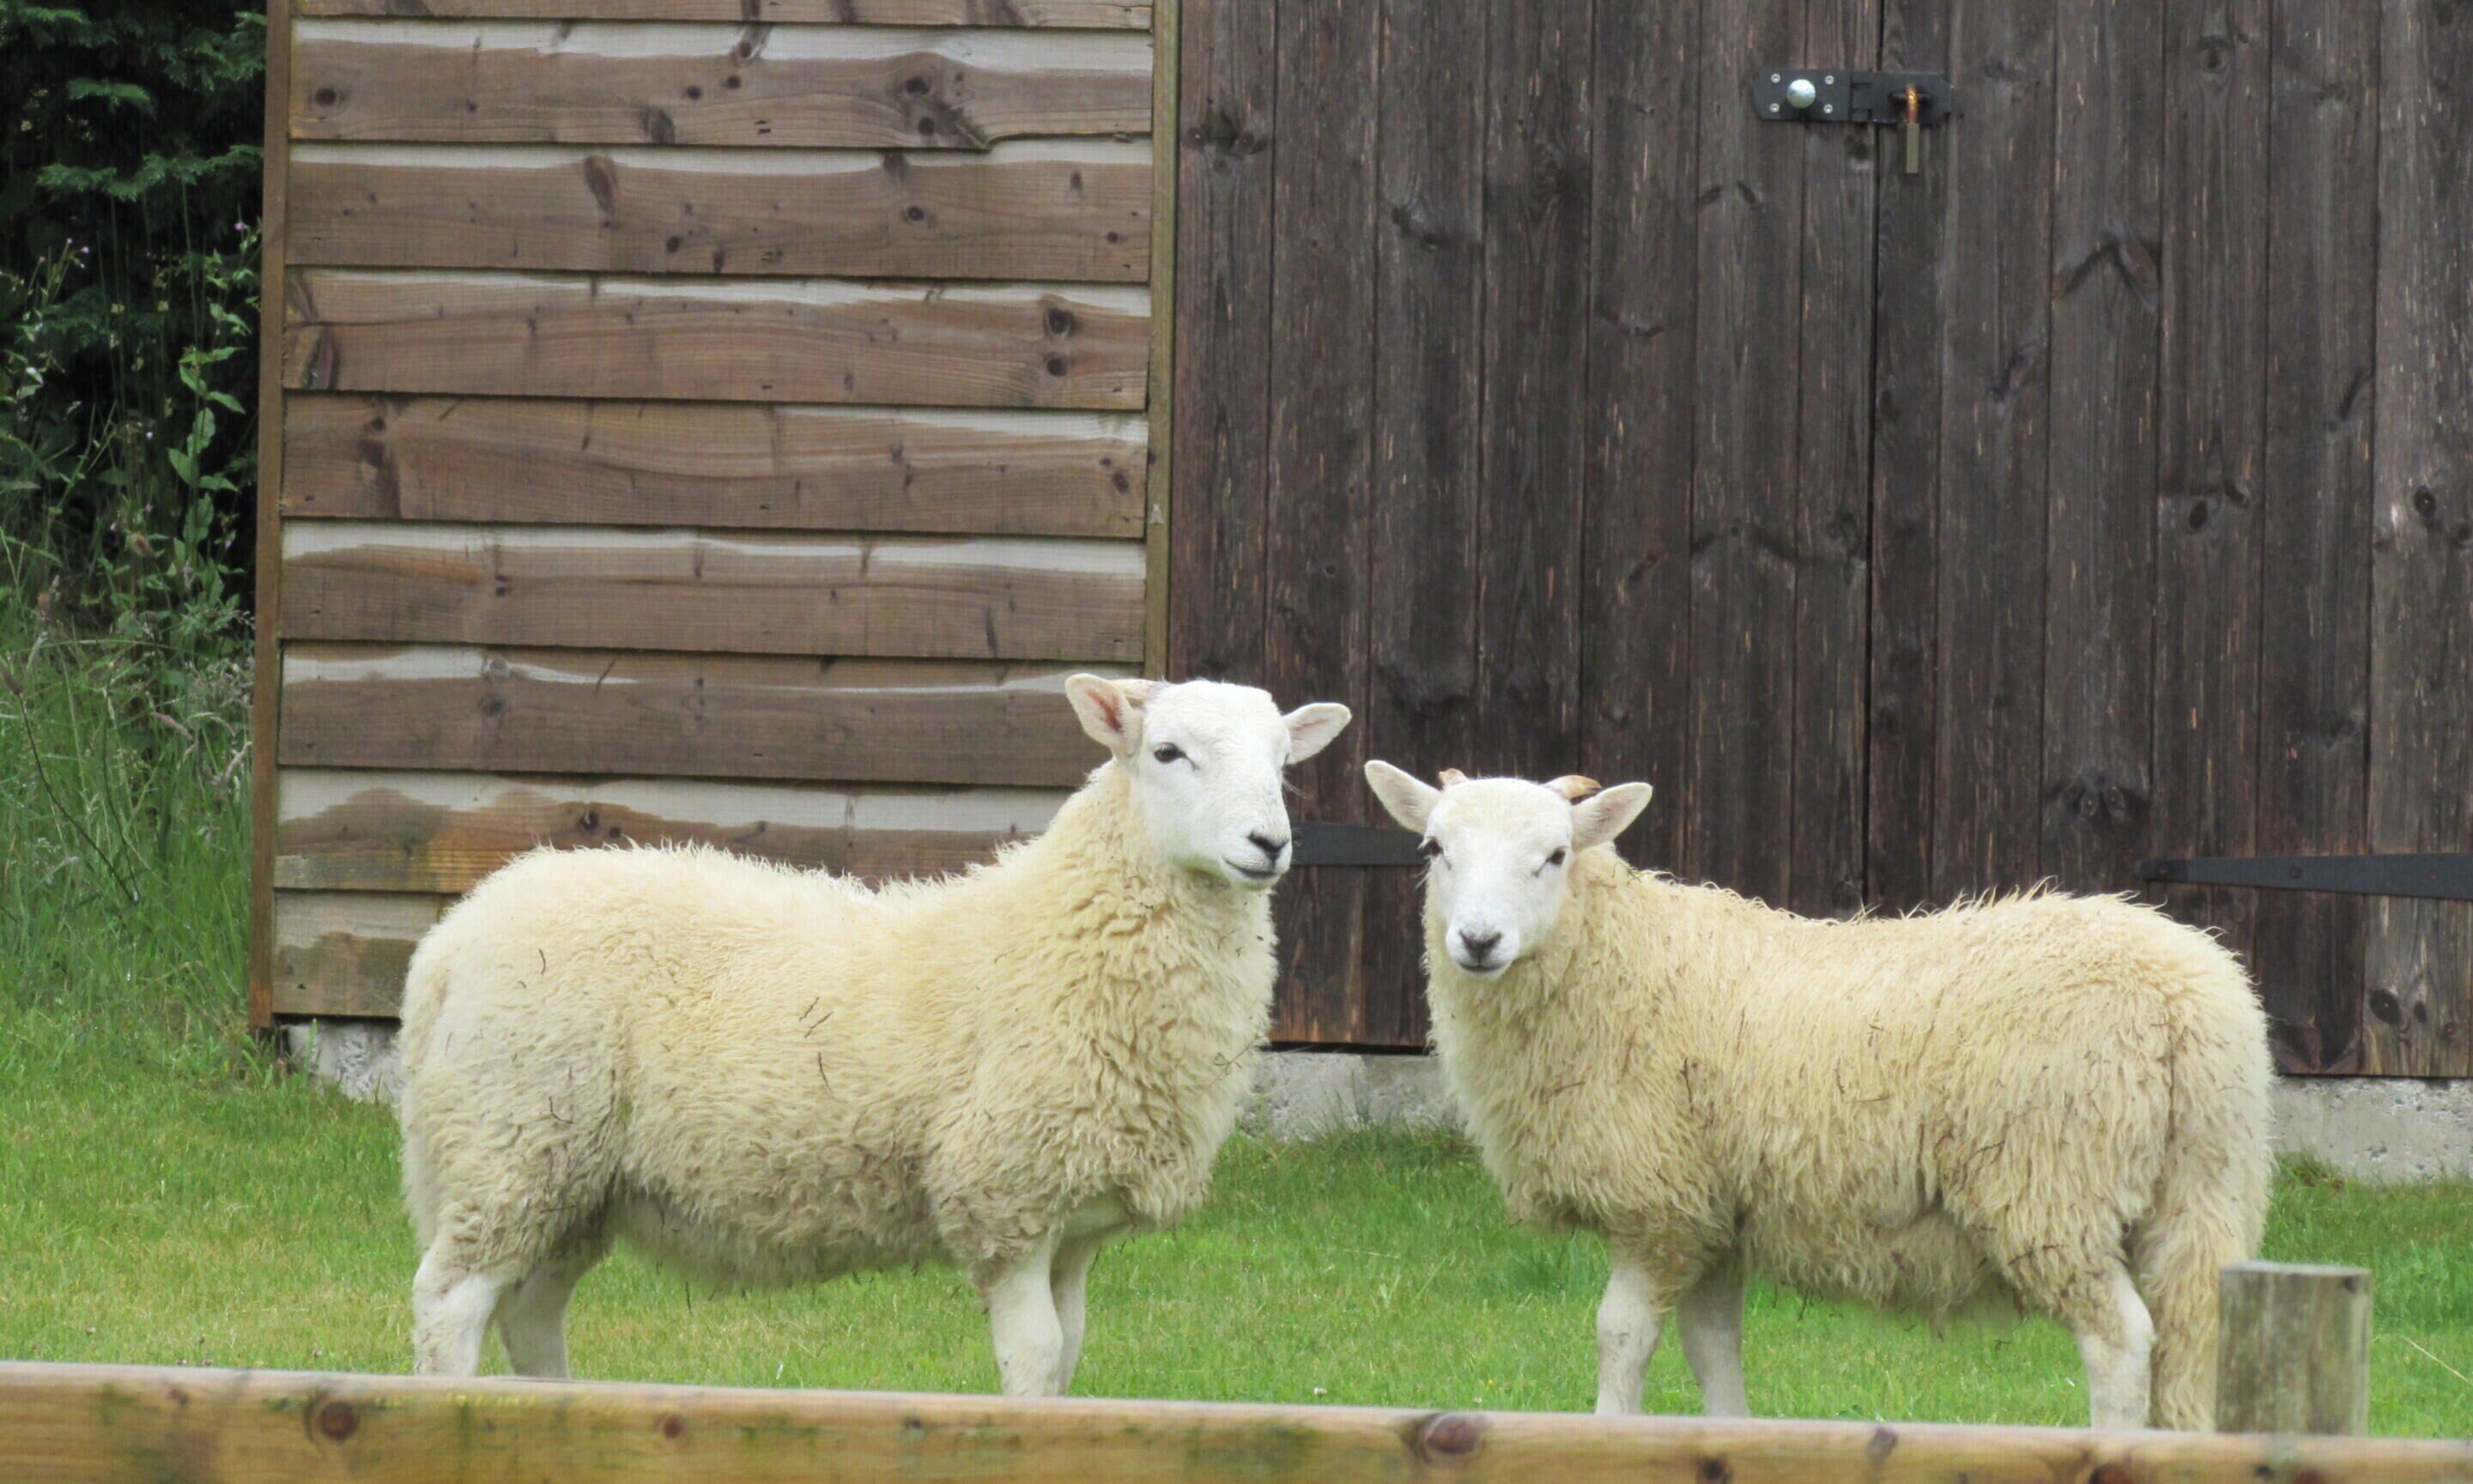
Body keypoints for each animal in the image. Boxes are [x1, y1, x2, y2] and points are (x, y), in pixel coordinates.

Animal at [396, 675, 1350, 1394]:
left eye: (1282, 763)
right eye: (1167, 753)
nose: (1268, 842)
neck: (1061, 927)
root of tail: (451, 937)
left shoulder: (1075, 1221)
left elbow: (1069, 1356)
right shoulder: (1004, 1194)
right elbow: (1035, 1356)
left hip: (579, 1177)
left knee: (531, 1309)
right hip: (515, 1138)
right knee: (451, 1303)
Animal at [1363, 762, 2273, 1431]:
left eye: (1554, 855)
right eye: (1433, 848)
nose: (1478, 940)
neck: (1618, 958)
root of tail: (2190, 994)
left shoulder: (1656, 1205)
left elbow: (1620, 1338)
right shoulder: (1712, 1211)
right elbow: (1712, 1346)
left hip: (2050, 1185)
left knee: (2119, 1344)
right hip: (2202, 1188)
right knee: (2193, 1333)